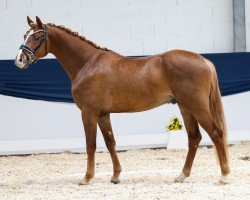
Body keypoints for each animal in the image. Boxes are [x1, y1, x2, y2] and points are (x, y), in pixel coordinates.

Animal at [14, 16, 229, 184]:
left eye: (37, 36)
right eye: (25, 35)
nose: (19, 60)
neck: (88, 64)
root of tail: (203, 60)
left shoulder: (88, 112)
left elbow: (90, 144)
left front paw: (87, 177)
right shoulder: (103, 114)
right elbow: (110, 142)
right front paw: (116, 176)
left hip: (196, 107)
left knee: (216, 133)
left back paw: (224, 176)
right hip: (186, 108)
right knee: (194, 138)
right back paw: (182, 175)